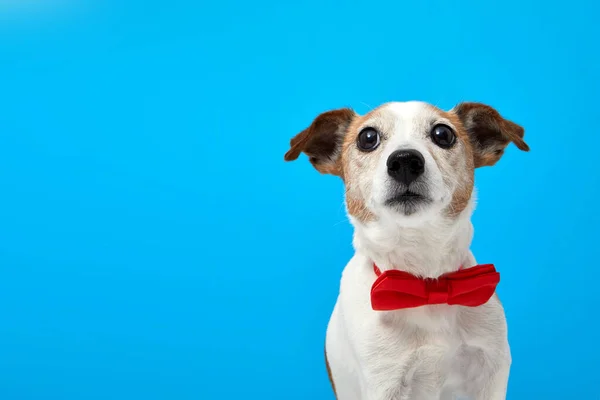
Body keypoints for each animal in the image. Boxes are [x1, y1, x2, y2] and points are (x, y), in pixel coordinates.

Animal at [284, 101, 528, 400]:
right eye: (367, 138)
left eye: (443, 134)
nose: (404, 161)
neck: (425, 282)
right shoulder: (385, 382)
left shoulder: (489, 371)